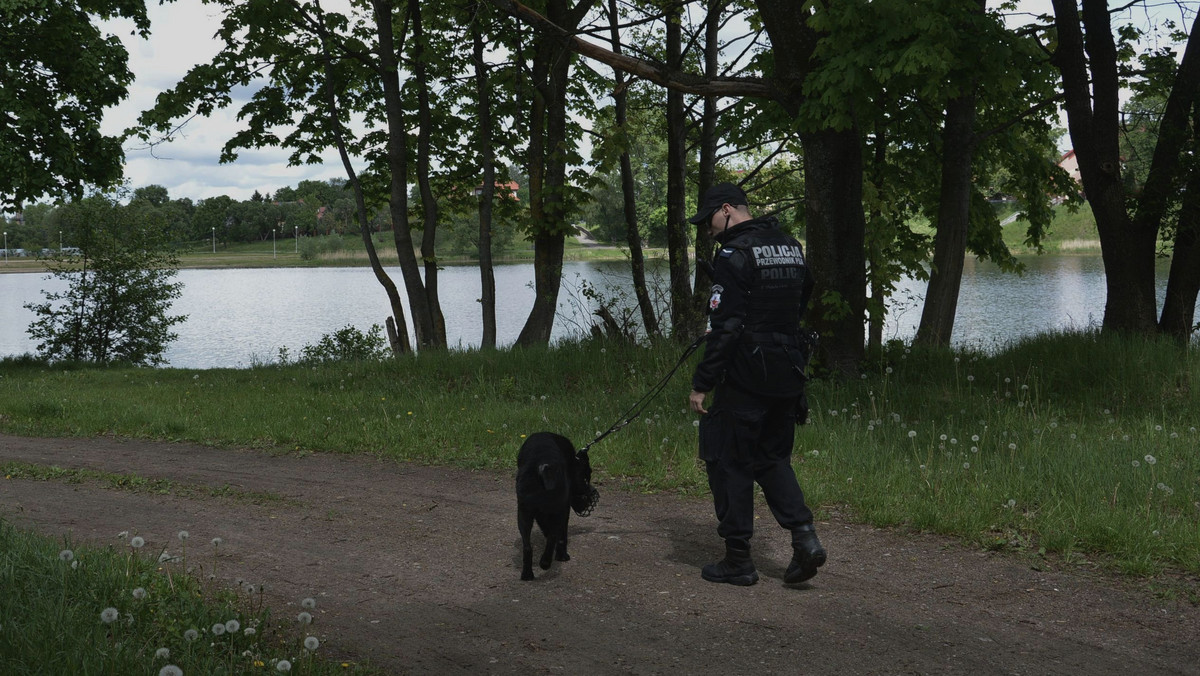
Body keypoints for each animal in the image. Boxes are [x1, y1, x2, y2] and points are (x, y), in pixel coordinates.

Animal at [516, 434, 600, 581]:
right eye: (585, 479)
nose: (592, 494)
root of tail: (543, 467)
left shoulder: (540, 514)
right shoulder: (564, 509)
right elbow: (561, 536)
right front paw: (562, 556)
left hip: (523, 514)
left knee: (527, 547)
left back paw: (527, 574)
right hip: (557, 511)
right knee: (553, 537)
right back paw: (545, 563)